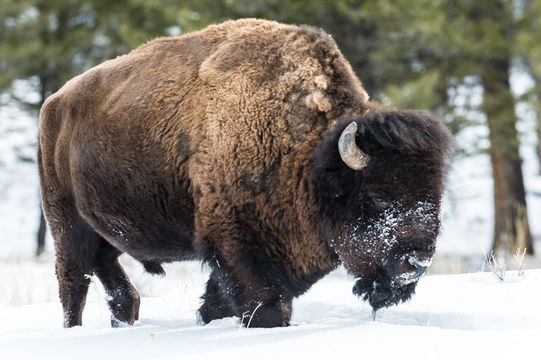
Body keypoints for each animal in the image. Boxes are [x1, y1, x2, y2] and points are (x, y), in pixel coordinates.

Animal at [39, 19, 452, 330]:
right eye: (379, 196)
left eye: (435, 196)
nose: (417, 263)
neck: (308, 155)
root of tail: (54, 103)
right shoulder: (238, 244)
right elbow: (264, 304)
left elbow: (218, 303)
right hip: (67, 225)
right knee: (73, 281)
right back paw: (73, 332)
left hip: (105, 233)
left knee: (116, 285)